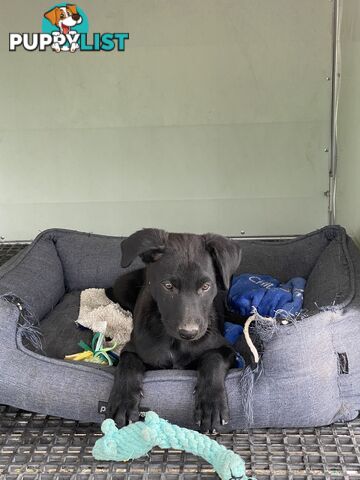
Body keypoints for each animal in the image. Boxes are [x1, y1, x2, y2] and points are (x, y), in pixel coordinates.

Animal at [107, 229, 242, 432]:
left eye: (206, 286)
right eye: (168, 286)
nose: (189, 333)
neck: (175, 342)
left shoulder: (225, 348)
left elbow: (213, 358)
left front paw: (211, 405)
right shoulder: (132, 348)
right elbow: (128, 364)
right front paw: (123, 401)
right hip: (121, 286)